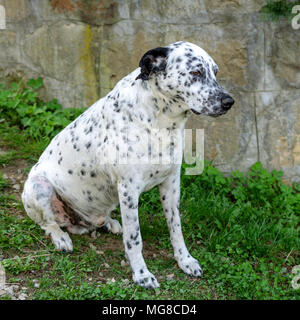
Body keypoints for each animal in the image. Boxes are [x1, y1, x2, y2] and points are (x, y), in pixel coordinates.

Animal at [22, 41, 234, 288]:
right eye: (196, 72)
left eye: (216, 72)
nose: (229, 102)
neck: (162, 122)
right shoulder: (129, 189)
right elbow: (135, 239)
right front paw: (141, 274)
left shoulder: (171, 184)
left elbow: (176, 228)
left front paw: (185, 260)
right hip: (39, 186)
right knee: (48, 223)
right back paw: (61, 237)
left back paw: (109, 223)